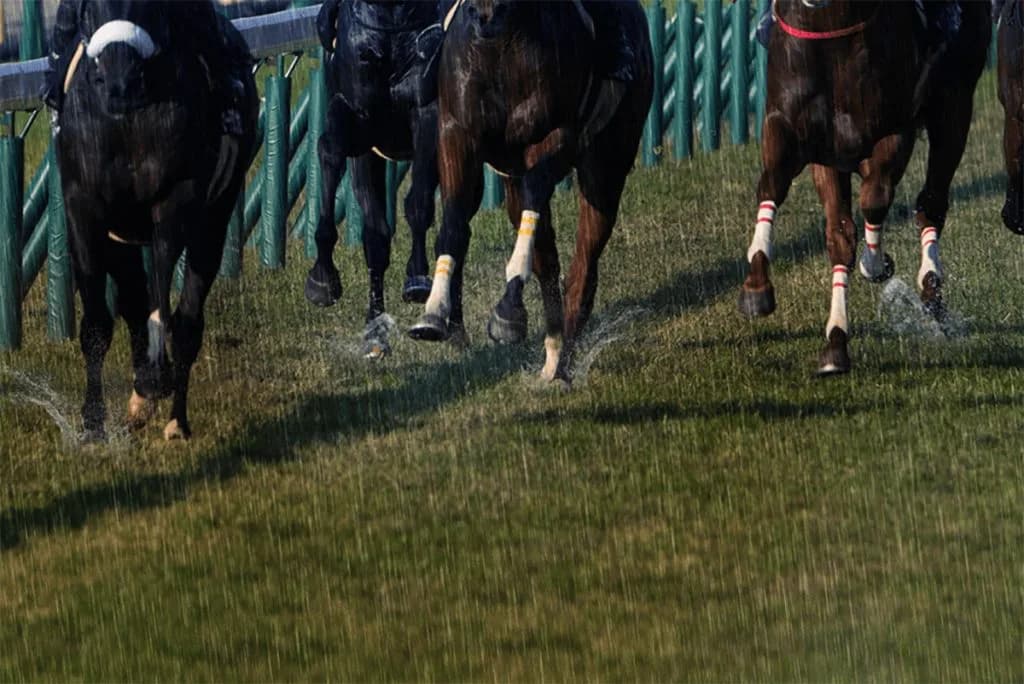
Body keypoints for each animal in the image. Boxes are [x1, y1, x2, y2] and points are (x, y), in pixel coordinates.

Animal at [56, 0, 259, 440]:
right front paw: (92, 422)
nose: (120, 83)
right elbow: (98, 323)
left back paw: (175, 420)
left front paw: (153, 382)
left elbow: (164, 303)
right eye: (86, 6)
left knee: (187, 319)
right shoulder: (84, 205)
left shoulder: (176, 198)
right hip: (121, 235)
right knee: (133, 301)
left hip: (216, 215)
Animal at [305, 0, 440, 358]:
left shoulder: (427, 113)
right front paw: (323, 280)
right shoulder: (357, 122)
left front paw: (417, 278)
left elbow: (419, 204)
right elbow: (330, 151)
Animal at [407, 0, 653, 384]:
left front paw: (508, 313)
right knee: (547, 260)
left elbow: (536, 190)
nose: (484, 17)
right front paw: (433, 313)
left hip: (606, 168)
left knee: (582, 269)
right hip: (511, 179)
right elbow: (454, 225)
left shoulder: (557, 134)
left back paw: (561, 362)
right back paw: (551, 348)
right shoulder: (456, 133)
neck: (501, 45)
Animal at [737, 0, 990, 375]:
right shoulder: (795, 134)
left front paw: (876, 264)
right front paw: (758, 289)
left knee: (931, 202)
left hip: (955, 108)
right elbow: (780, 193)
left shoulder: (893, 134)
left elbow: (874, 201)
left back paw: (931, 289)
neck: (828, 33)